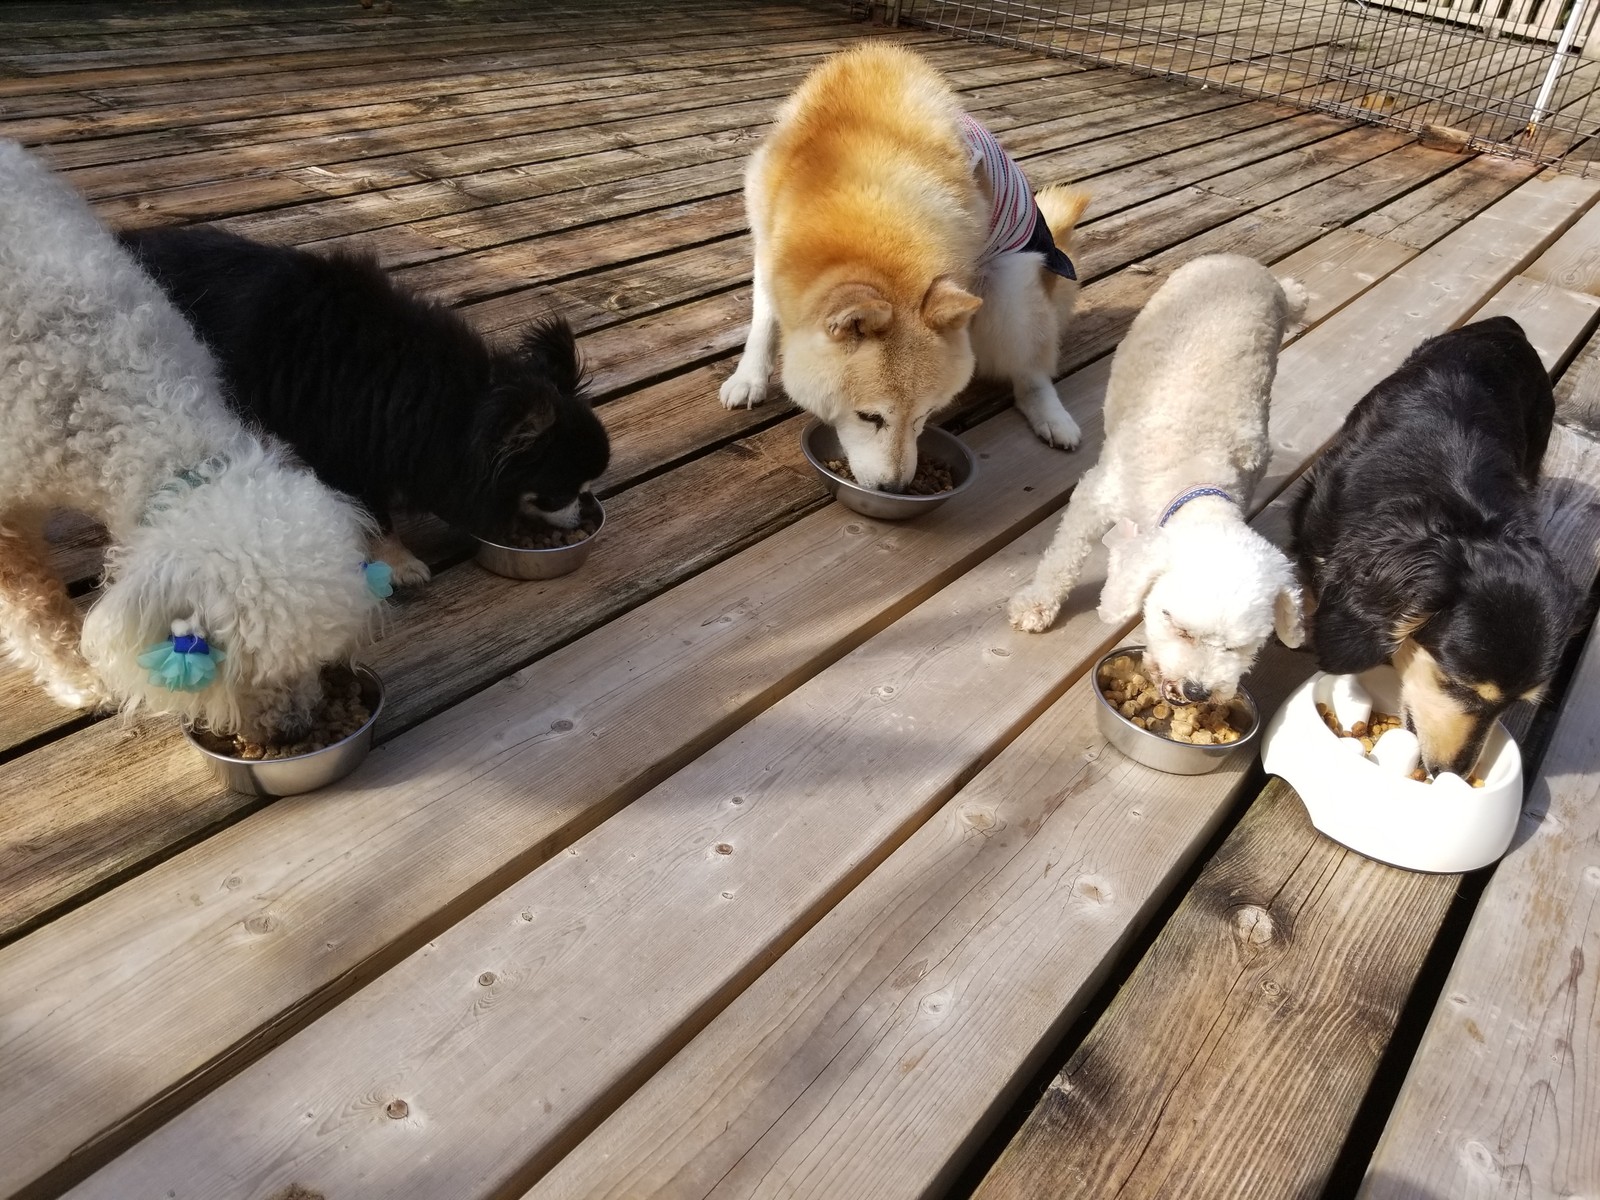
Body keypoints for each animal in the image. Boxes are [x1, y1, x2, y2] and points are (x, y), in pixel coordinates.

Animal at [120, 225, 611, 584]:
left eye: (588, 488)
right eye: (561, 492)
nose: (589, 509)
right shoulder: (348, 457)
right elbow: (377, 517)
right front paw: (399, 563)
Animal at [717, 42, 1090, 490]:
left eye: (926, 415)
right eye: (869, 417)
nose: (894, 488)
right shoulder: (767, 244)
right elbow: (764, 323)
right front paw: (748, 378)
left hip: (1012, 289)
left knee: (1032, 368)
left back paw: (1052, 416)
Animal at [1008, 254, 1307, 705]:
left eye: (1238, 647)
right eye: (1177, 625)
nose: (1197, 691)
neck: (1197, 482)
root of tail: (1246, 262)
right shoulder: (1096, 495)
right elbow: (1063, 558)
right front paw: (1037, 604)